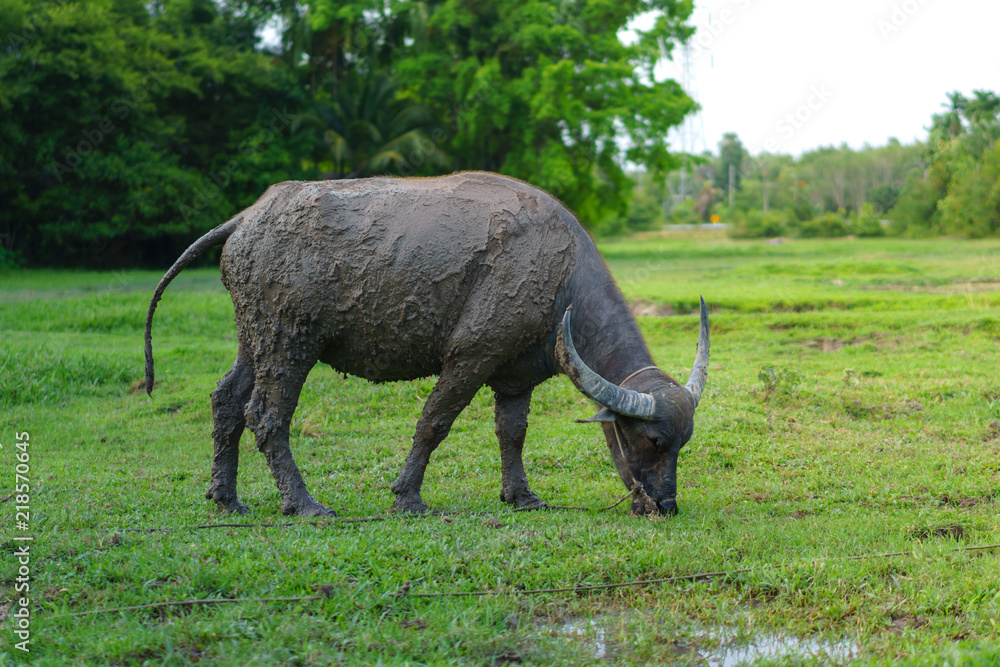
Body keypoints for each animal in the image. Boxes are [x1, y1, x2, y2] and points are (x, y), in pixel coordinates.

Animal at [144, 172, 709, 517]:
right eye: (653, 441)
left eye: (683, 443)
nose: (665, 505)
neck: (560, 275)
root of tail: (249, 216)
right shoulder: (470, 356)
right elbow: (435, 422)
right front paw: (407, 496)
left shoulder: (515, 376)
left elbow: (512, 433)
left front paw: (521, 496)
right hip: (290, 342)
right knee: (265, 415)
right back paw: (304, 504)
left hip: (255, 336)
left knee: (226, 400)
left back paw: (226, 498)